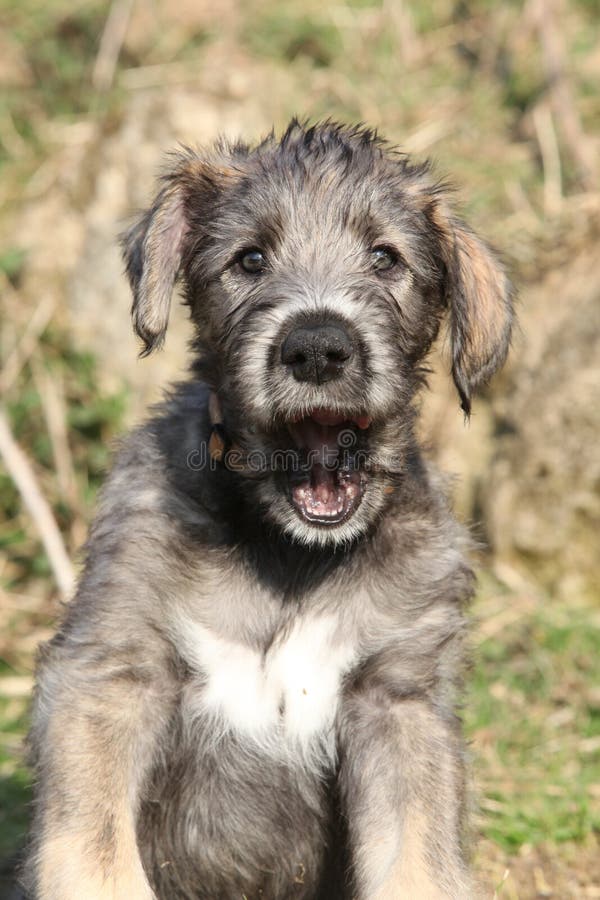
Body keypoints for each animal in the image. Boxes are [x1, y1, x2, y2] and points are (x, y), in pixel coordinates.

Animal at [22, 121, 510, 900]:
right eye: (249, 259)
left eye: (386, 258)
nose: (318, 347)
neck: (289, 556)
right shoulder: (112, 668)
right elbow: (95, 845)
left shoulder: (399, 698)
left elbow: (417, 859)